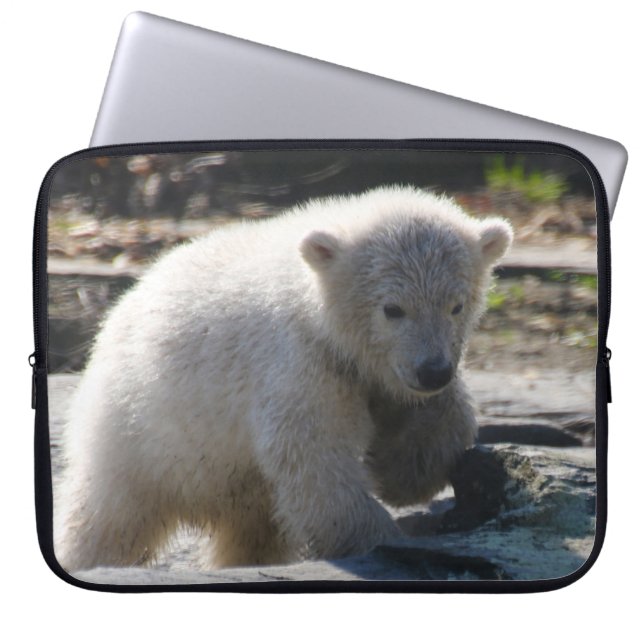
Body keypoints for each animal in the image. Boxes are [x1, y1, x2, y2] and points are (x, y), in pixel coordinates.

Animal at [54, 185, 512, 572]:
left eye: (457, 305)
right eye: (392, 309)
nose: (433, 370)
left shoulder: (378, 373)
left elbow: (440, 420)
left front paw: (407, 474)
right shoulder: (300, 362)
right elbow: (314, 456)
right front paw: (383, 540)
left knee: (254, 530)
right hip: (137, 430)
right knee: (108, 515)